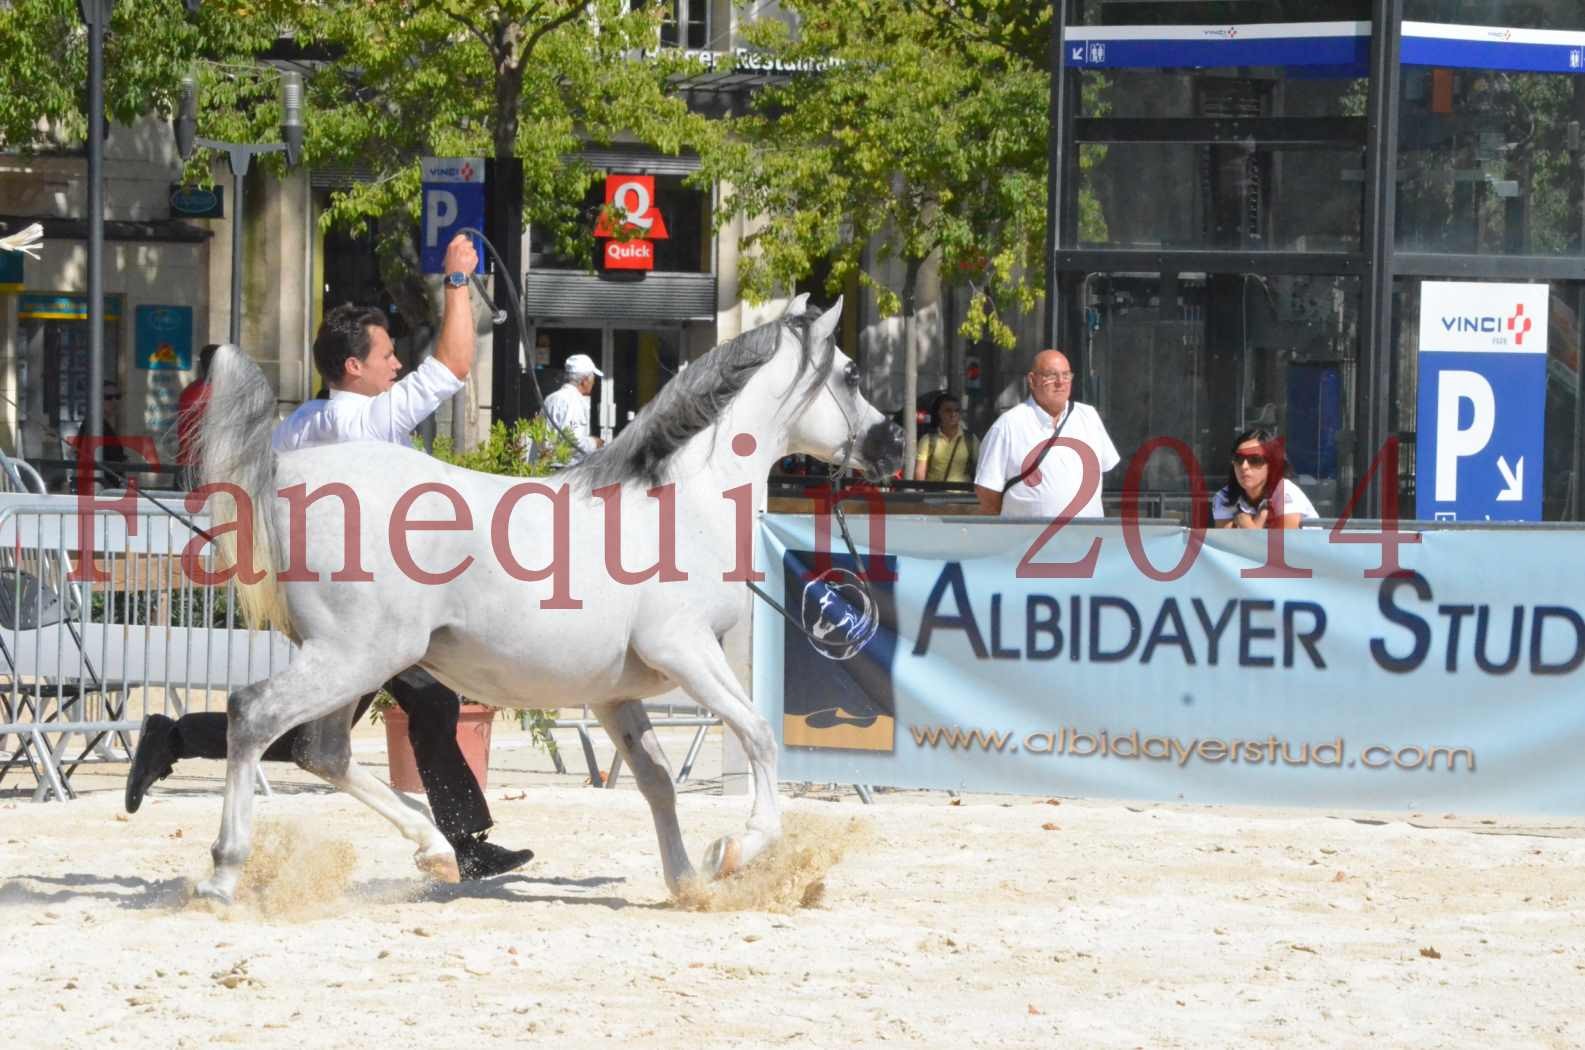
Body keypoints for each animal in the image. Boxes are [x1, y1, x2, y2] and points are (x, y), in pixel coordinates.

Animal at [191, 296, 906, 907]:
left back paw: (436, 852)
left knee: (323, 751)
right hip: (354, 656)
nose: (894, 445)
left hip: (358, 662)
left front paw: (687, 882)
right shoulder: (686, 650)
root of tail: (287, 473)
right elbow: (759, 735)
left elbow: (657, 780)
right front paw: (733, 851)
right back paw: (223, 876)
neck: (683, 504)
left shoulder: (615, 694)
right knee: (253, 716)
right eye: (849, 374)